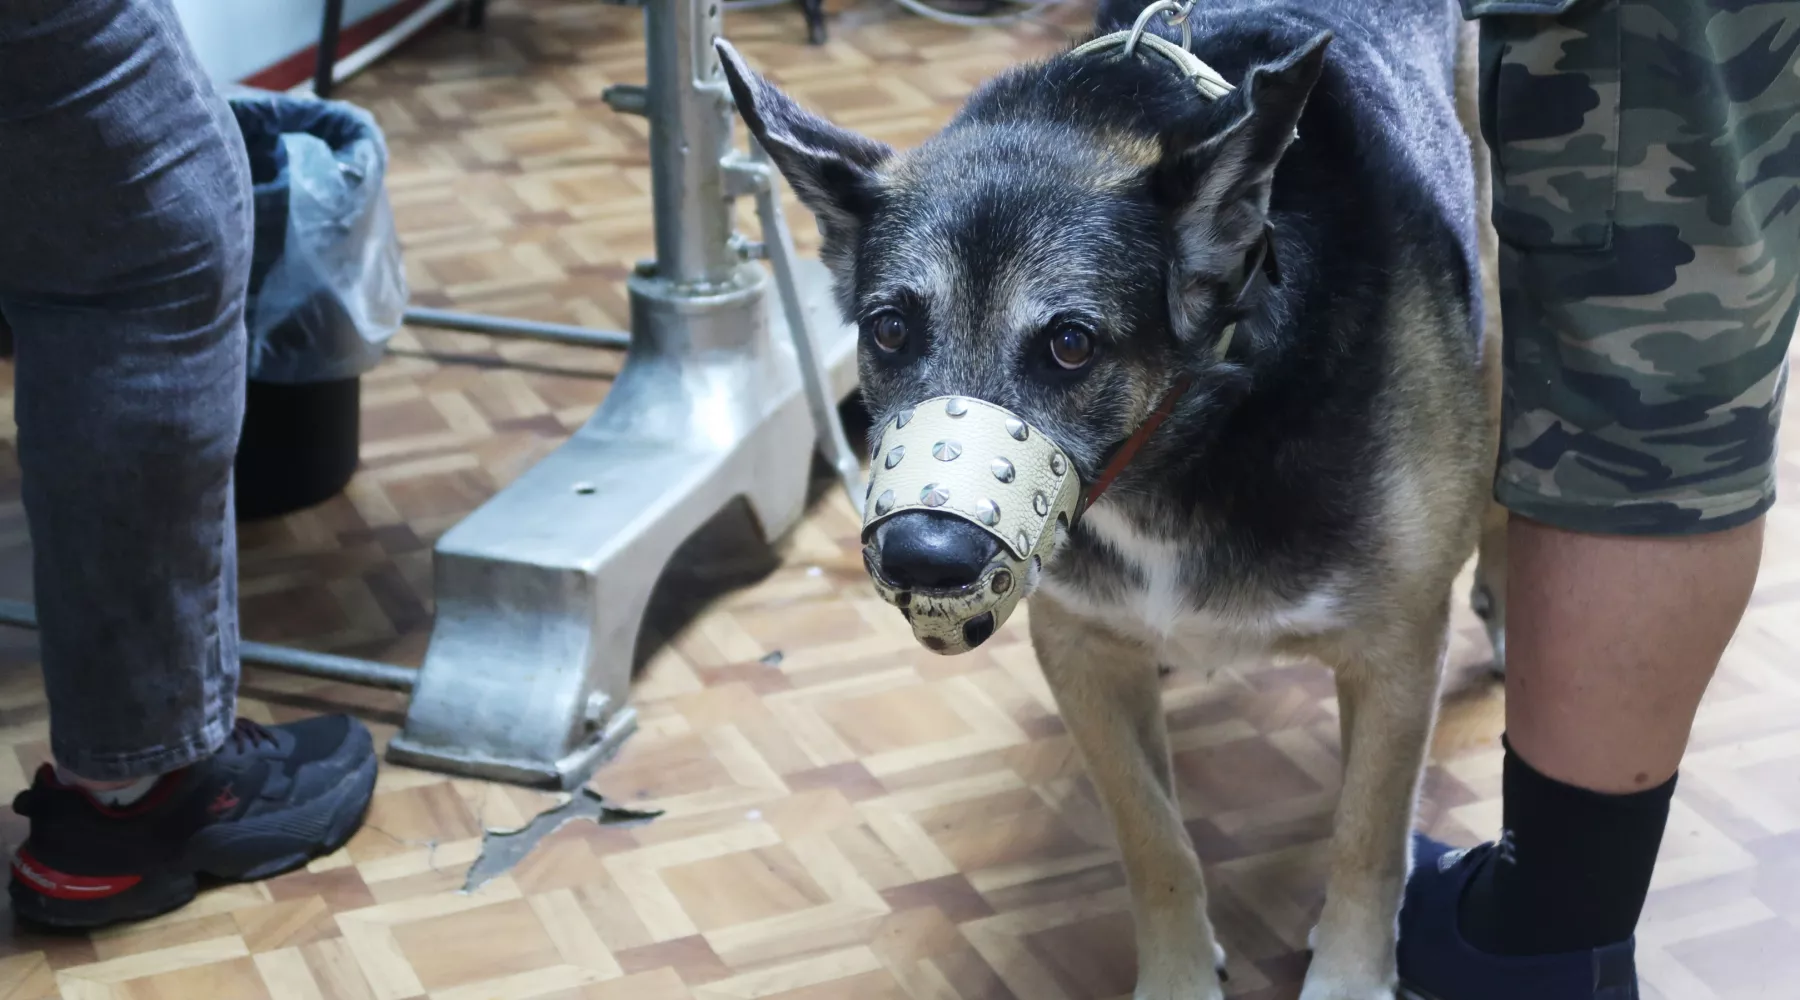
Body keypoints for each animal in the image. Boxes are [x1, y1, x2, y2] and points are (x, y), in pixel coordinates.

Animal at [718, 0, 1506, 994]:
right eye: (889, 329)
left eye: (1070, 345)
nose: (922, 562)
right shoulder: (1081, 651)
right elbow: (1151, 834)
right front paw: (1177, 973)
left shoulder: (1395, 656)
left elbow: (1370, 840)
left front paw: (1349, 976)